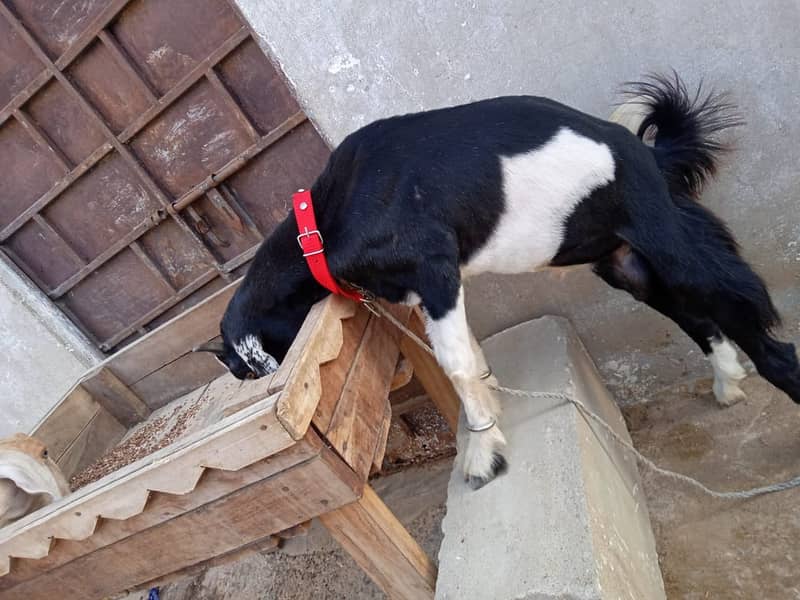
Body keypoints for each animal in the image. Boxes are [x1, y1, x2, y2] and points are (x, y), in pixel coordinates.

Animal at [197, 74, 800, 488]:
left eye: (239, 363)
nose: (247, 377)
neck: (323, 220)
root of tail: (647, 154)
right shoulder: (433, 292)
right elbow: (471, 354)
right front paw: (489, 411)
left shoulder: (435, 271)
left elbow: (457, 362)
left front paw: (484, 453)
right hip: (624, 262)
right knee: (696, 315)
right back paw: (726, 382)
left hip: (671, 243)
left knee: (752, 322)